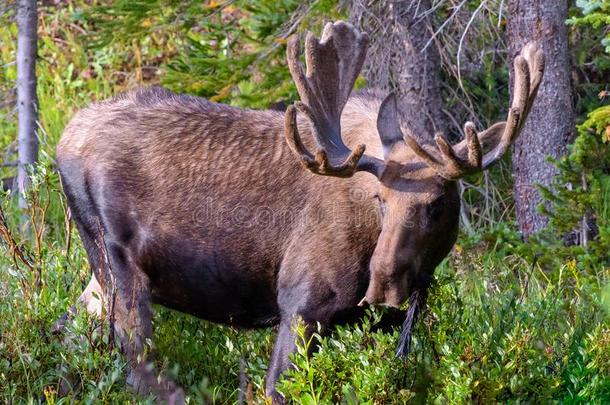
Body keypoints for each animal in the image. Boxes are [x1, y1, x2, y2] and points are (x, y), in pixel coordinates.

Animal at [55, 20, 540, 402]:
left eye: (438, 202)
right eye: (380, 200)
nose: (382, 284)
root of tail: (64, 142)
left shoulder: (380, 325)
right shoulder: (302, 306)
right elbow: (279, 389)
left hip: (98, 278)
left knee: (68, 333)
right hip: (119, 263)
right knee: (136, 362)